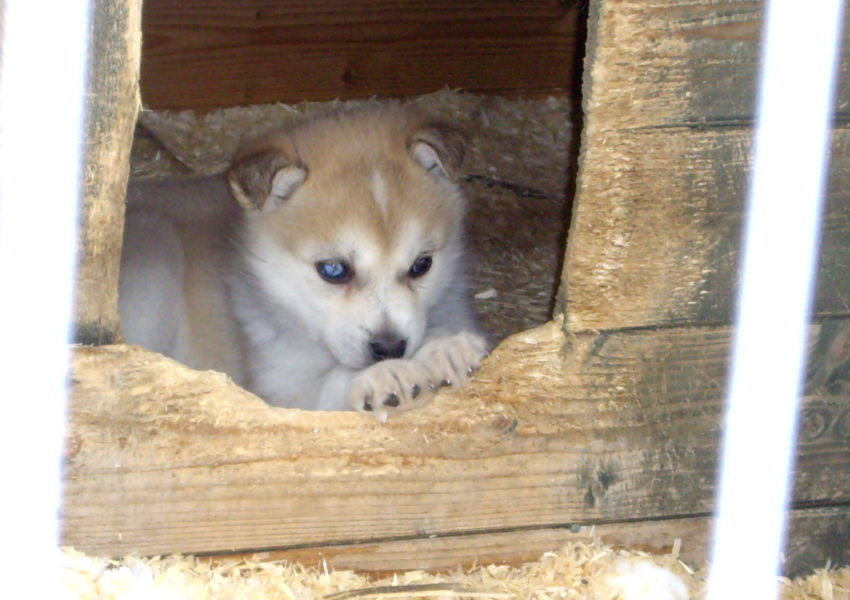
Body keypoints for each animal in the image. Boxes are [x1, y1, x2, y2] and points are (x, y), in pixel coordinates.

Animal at [121, 104, 486, 422]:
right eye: (333, 270)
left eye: (421, 265)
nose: (390, 348)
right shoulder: (279, 389)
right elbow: (328, 385)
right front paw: (383, 375)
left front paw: (447, 349)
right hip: (158, 250)